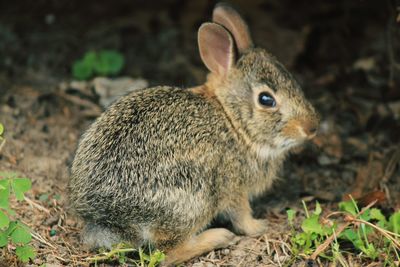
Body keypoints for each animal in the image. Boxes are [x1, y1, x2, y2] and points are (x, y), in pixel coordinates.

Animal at [68, 3, 318, 266]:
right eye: (266, 99)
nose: (311, 127)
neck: (232, 121)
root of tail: (108, 221)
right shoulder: (233, 187)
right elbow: (241, 216)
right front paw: (259, 226)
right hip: (194, 198)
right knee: (168, 252)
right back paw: (218, 237)